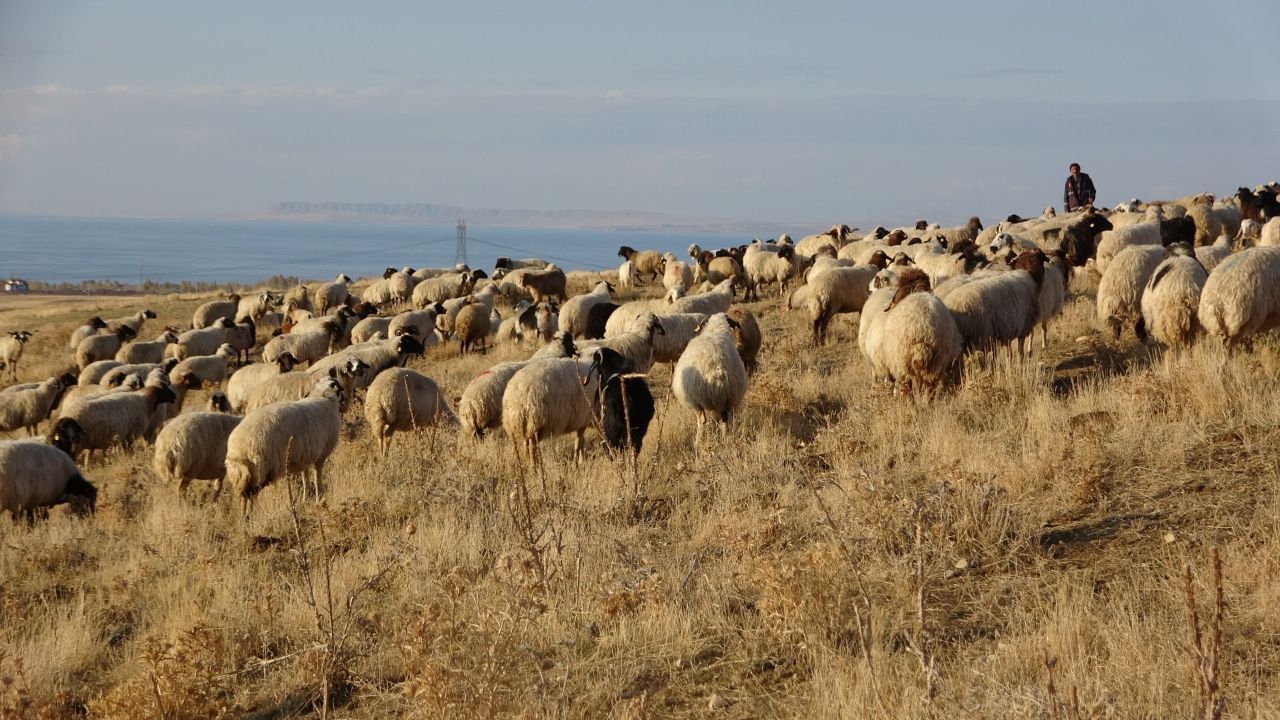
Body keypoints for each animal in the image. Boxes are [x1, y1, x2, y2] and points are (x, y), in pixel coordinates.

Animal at [225, 371, 343, 512]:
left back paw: (245, 516)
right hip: (263, 470)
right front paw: (318, 499)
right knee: (251, 494)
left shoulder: (305, 457)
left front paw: (305, 499)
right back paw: (251, 514)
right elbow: (317, 477)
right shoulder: (321, 455)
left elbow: (305, 478)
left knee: (244, 497)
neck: (323, 396)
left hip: (241, 476)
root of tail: (240, 449)